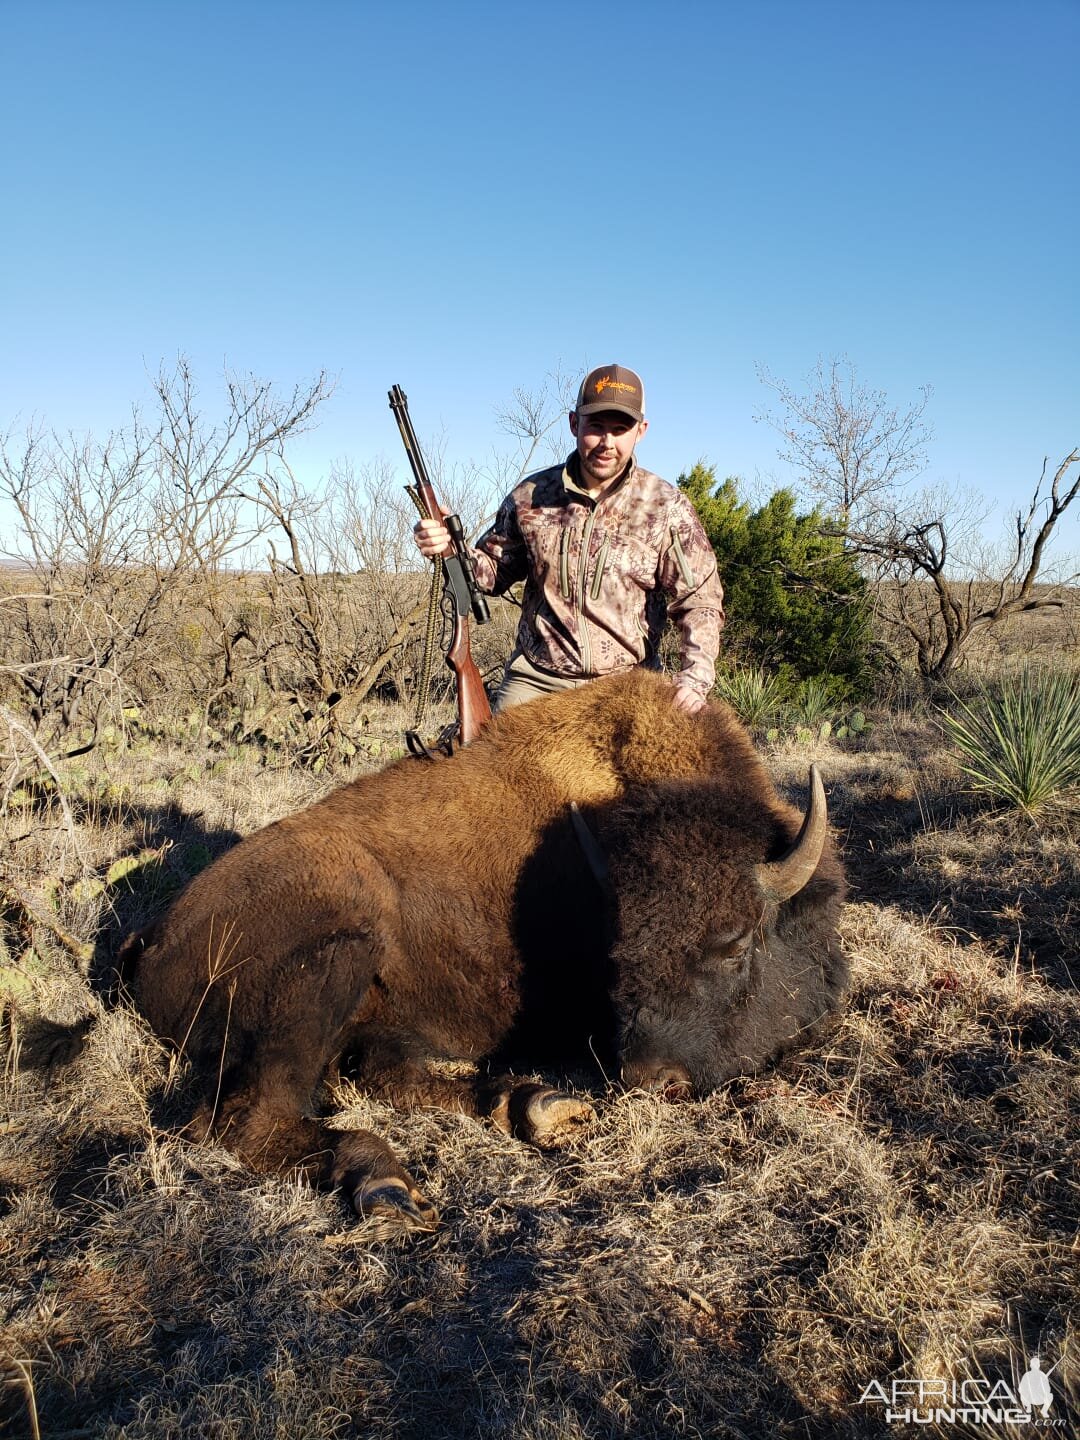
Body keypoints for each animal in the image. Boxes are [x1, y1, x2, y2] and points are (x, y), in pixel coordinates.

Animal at [118, 668, 846, 1232]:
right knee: (249, 1116)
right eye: (616, 954)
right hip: (339, 947)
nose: (650, 1081)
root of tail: (151, 942)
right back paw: (387, 1185)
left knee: (376, 1073)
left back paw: (534, 1107)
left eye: (736, 942)